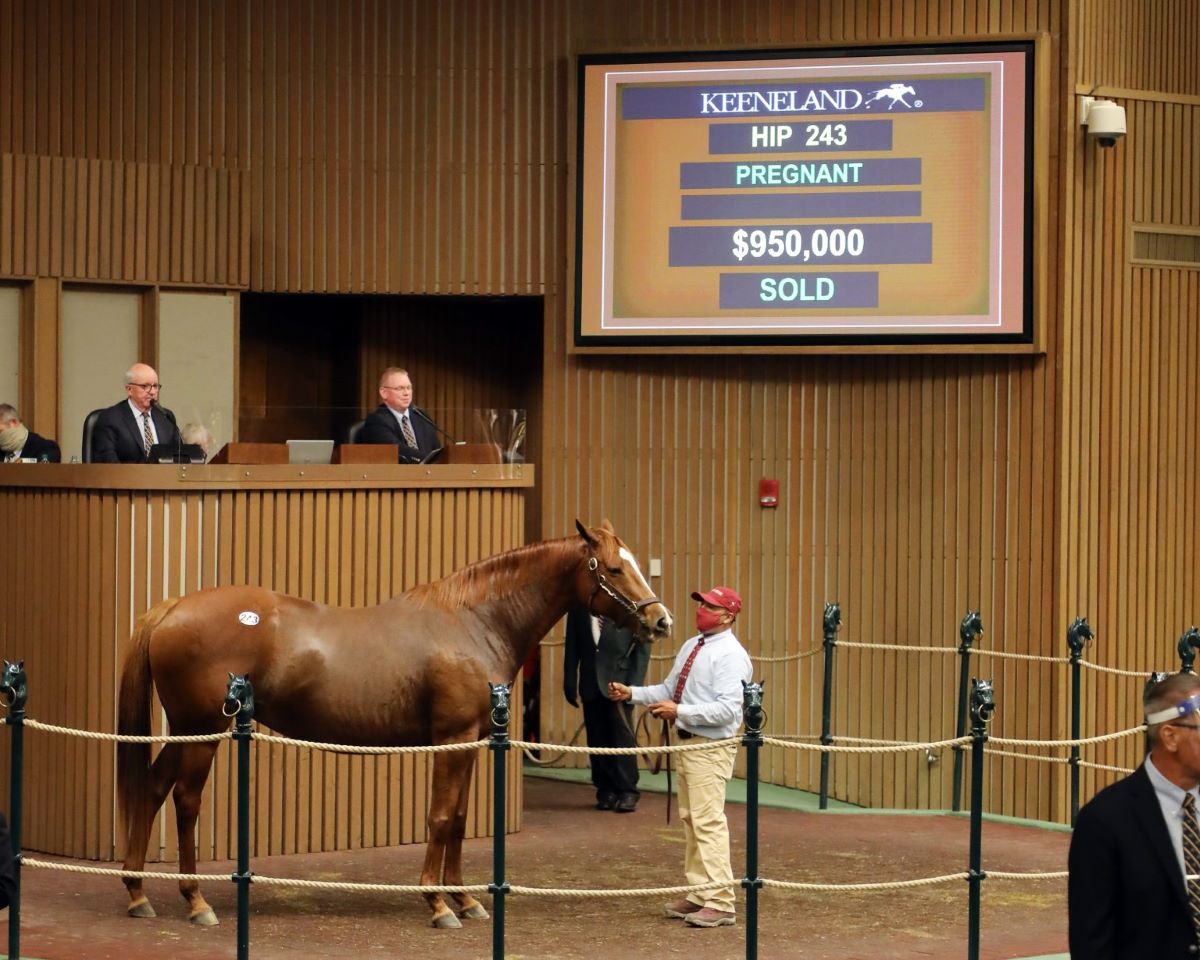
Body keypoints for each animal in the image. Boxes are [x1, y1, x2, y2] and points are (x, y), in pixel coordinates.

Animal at [115, 520, 672, 926]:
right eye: (615, 569)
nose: (660, 620)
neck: (473, 621)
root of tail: (172, 608)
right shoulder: (451, 739)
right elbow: (441, 817)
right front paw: (439, 903)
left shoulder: (471, 741)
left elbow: (460, 819)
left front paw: (466, 899)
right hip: (203, 732)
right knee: (185, 800)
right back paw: (195, 900)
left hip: (184, 731)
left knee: (152, 789)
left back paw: (138, 892)